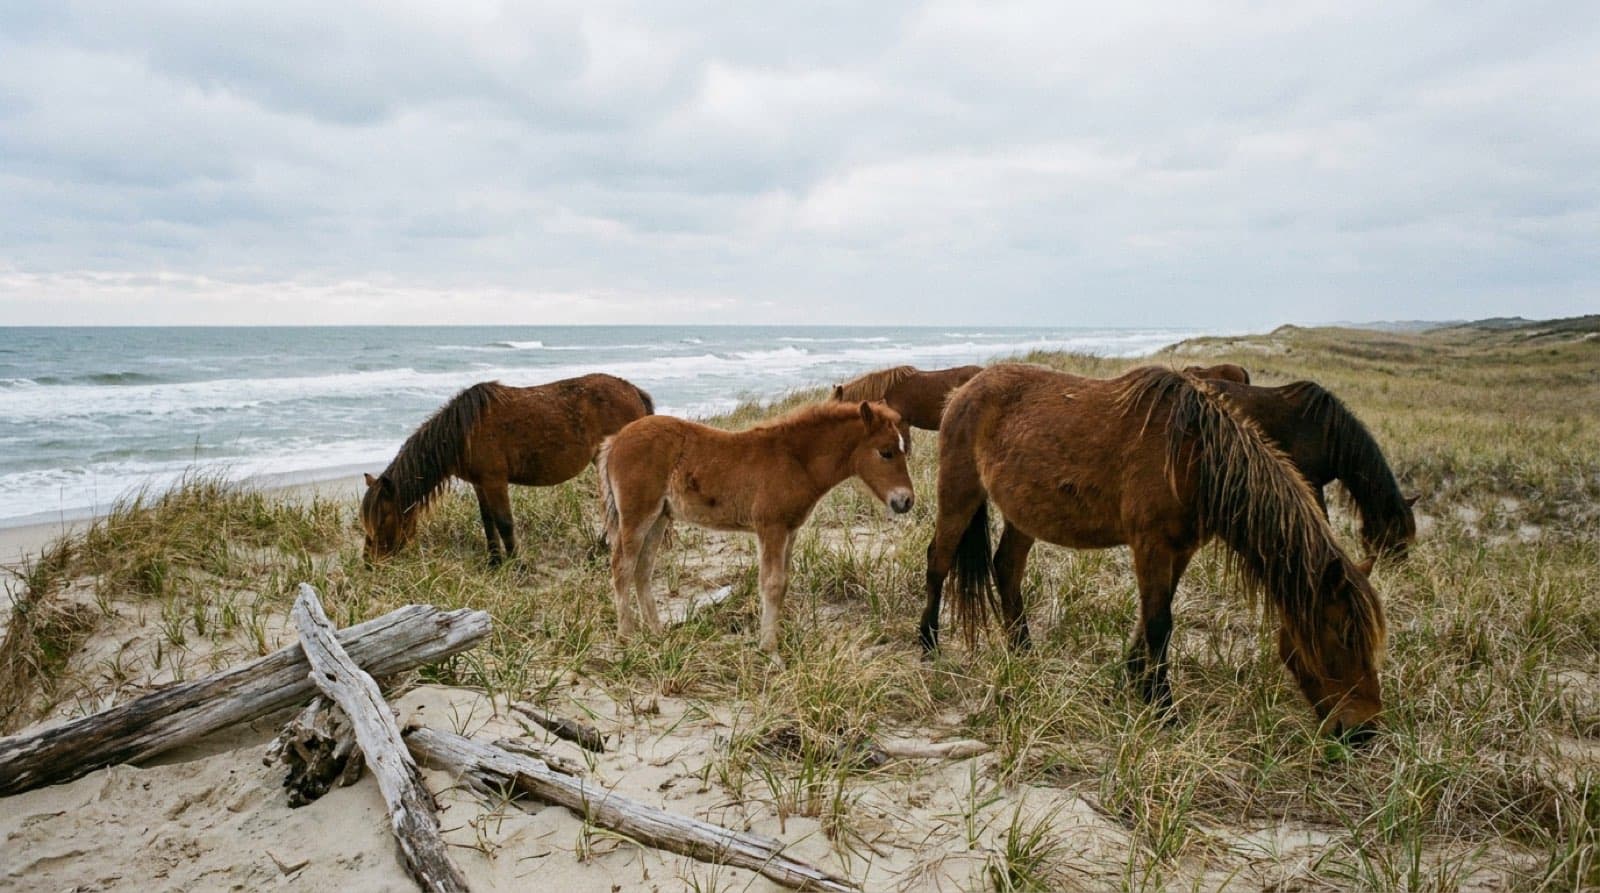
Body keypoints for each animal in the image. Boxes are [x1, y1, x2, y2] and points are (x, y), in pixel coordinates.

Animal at [361, 374, 654, 564]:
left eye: (383, 518)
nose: (369, 562)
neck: (464, 432)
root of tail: (632, 390)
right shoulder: (480, 484)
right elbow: (488, 521)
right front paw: (494, 562)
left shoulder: (495, 481)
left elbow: (504, 523)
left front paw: (516, 564)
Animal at [599, 400, 914, 657]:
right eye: (886, 453)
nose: (906, 501)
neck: (796, 460)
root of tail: (615, 440)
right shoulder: (771, 528)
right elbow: (771, 584)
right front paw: (770, 651)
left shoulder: (790, 530)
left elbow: (783, 583)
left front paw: (776, 641)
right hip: (637, 515)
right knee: (622, 567)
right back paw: (626, 638)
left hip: (660, 518)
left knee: (642, 570)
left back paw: (656, 633)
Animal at [921, 364, 1387, 740]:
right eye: (1344, 634)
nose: (1363, 730)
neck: (1194, 457)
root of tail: (962, 391)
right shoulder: (1151, 545)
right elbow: (1161, 623)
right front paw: (1164, 708)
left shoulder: (1180, 550)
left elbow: (1152, 617)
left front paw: (1133, 681)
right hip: (959, 492)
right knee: (938, 561)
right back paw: (928, 644)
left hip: (1024, 514)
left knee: (1007, 569)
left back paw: (1023, 650)